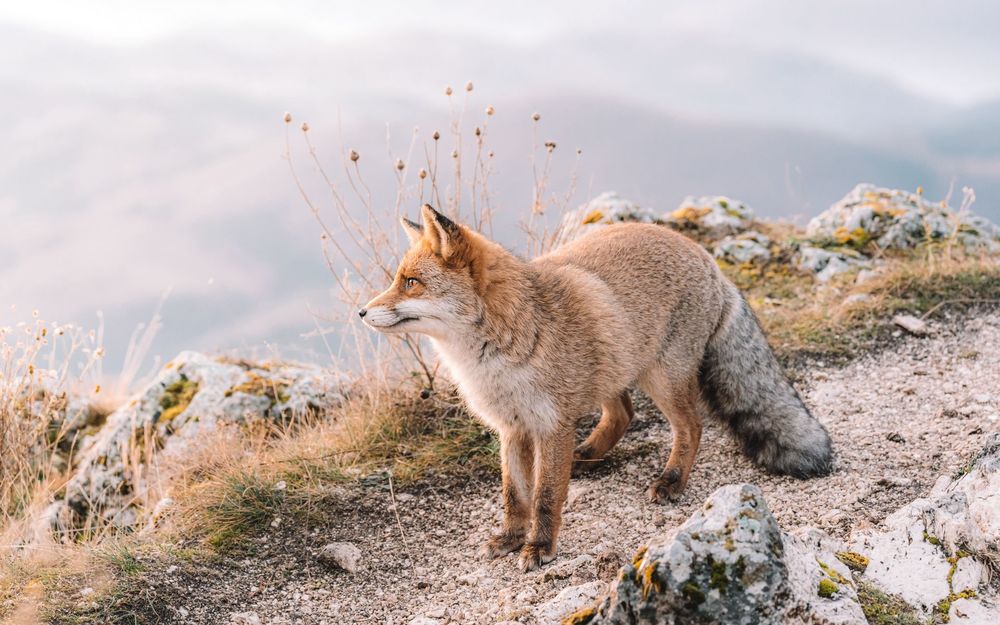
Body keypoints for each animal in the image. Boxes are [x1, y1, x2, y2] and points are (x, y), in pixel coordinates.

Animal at [360, 204, 832, 572]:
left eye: (411, 282)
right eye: (398, 279)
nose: (361, 312)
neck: (496, 356)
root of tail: (707, 257)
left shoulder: (550, 426)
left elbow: (546, 497)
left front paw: (539, 547)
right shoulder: (513, 428)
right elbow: (515, 496)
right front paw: (510, 537)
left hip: (660, 377)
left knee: (691, 427)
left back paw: (671, 481)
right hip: (615, 366)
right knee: (624, 413)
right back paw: (589, 454)